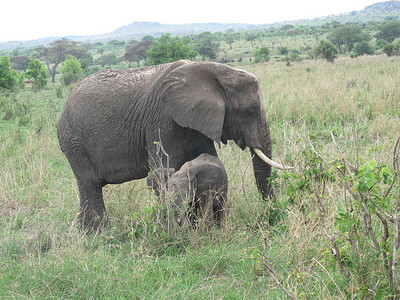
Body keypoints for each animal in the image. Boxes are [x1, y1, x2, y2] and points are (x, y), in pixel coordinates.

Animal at [57, 59, 290, 230]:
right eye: (250, 112)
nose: (273, 215)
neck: (215, 71)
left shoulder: (198, 119)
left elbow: (207, 160)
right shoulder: (163, 119)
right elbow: (162, 169)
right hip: (74, 141)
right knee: (90, 183)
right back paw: (98, 233)